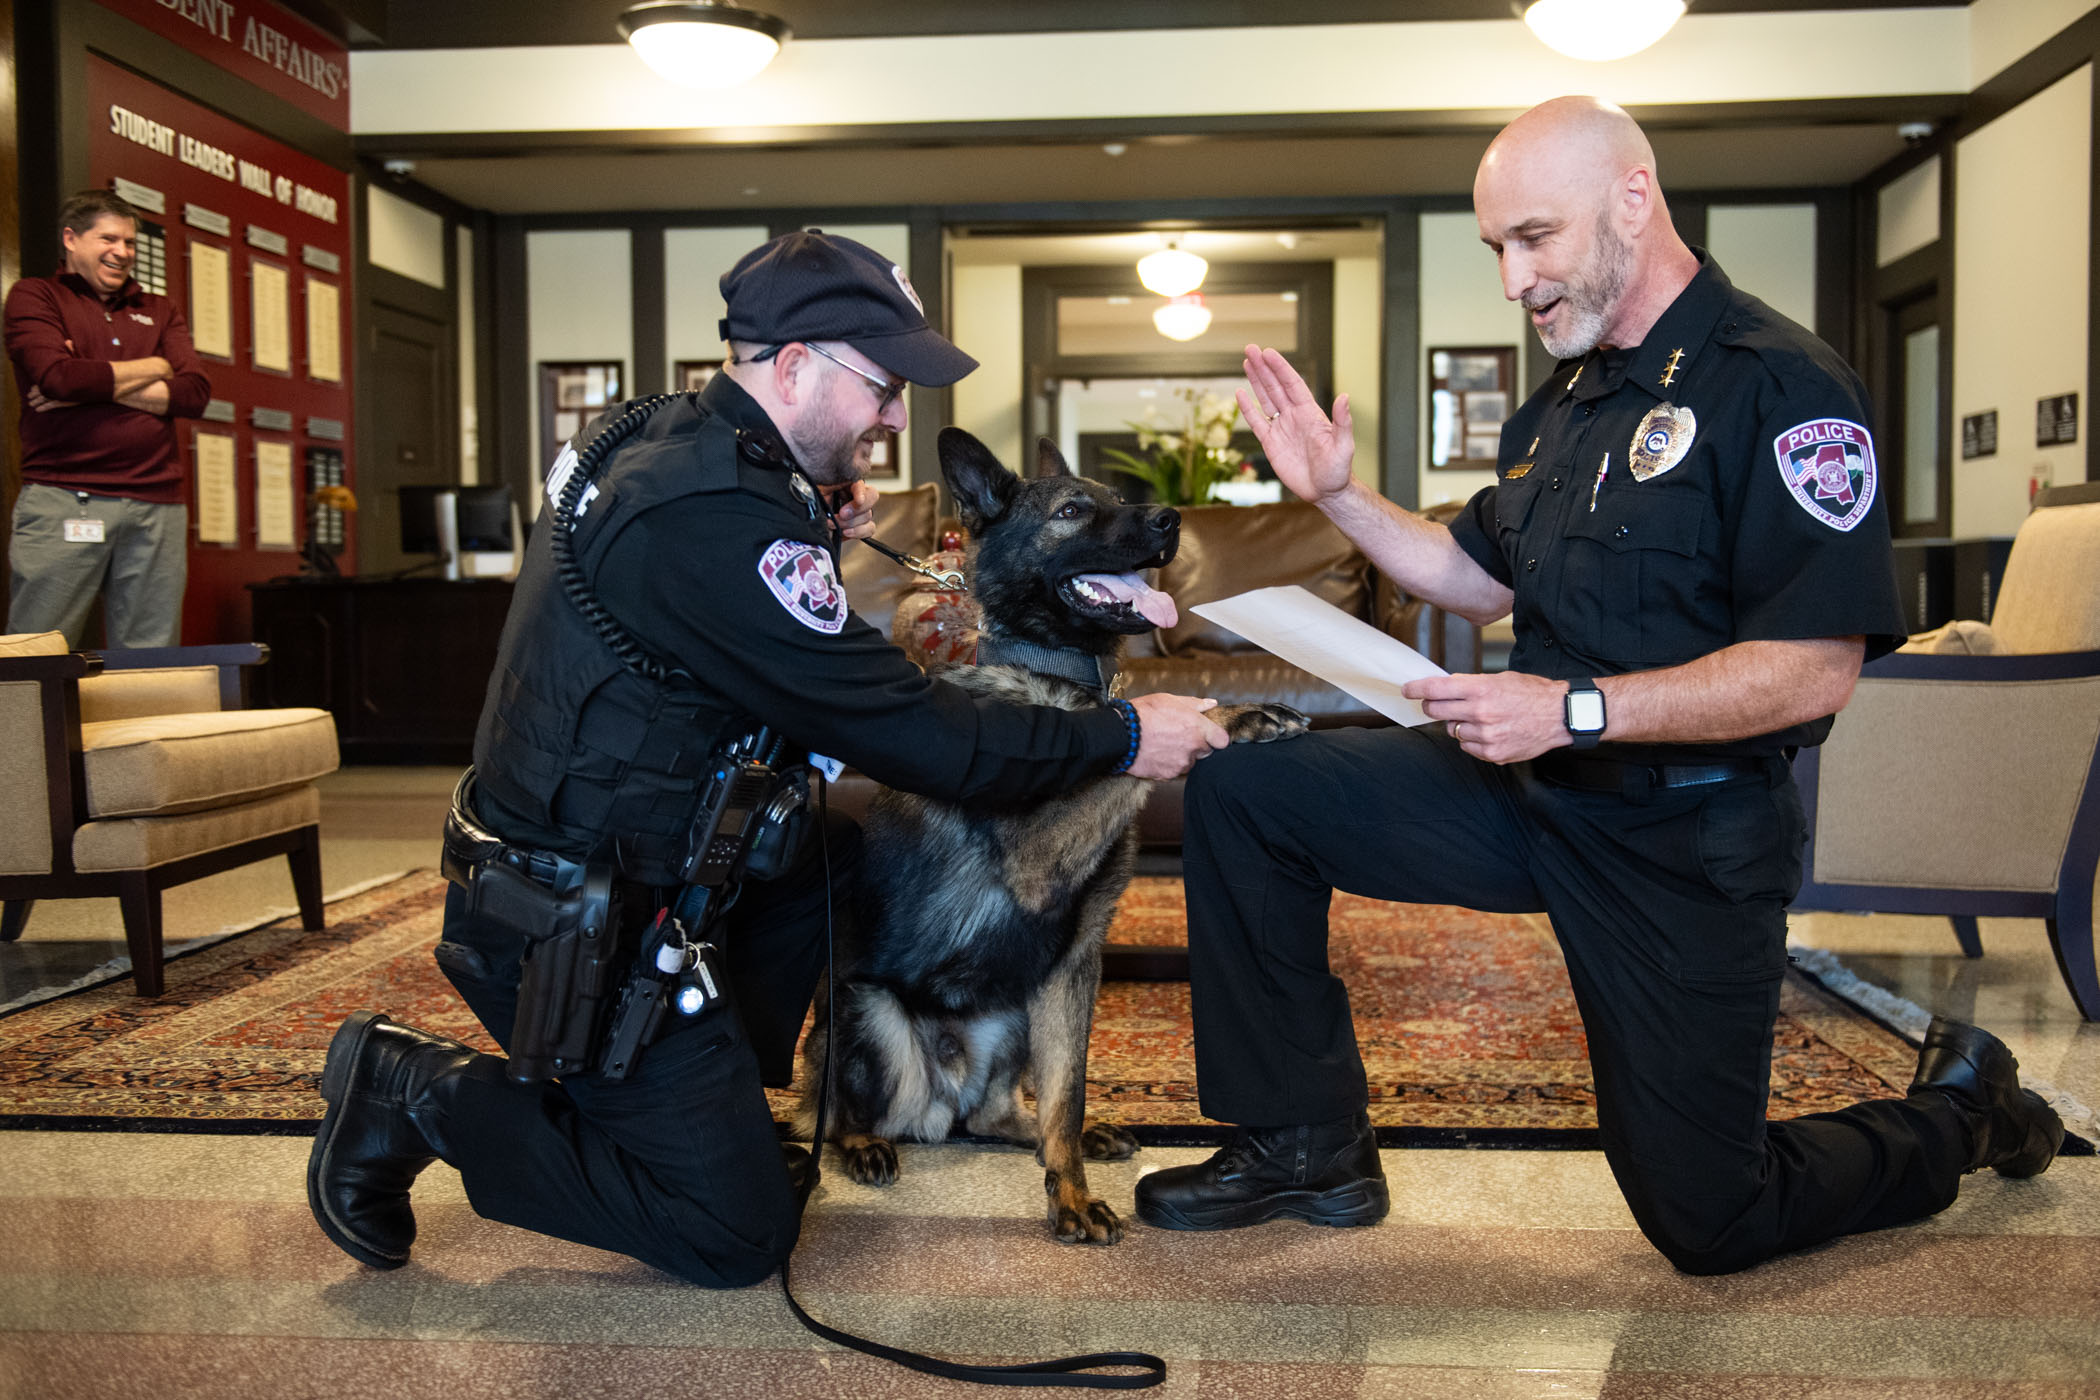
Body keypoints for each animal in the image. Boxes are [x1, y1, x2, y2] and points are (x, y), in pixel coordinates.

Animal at [793, 430, 1302, 1250]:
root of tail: (942, 1102)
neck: (1061, 680)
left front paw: (1069, 1186)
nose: (1170, 519)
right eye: (1071, 511)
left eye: (1121, 500)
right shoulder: (1042, 858)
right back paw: (862, 1142)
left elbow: (1067, 1091)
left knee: (995, 1115)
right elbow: (1135, 743)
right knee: (830, 1110)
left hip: (1013, 1016)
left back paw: (1047, 1134)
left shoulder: (1071, 964)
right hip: (873, 1016)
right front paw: (1217, 718)